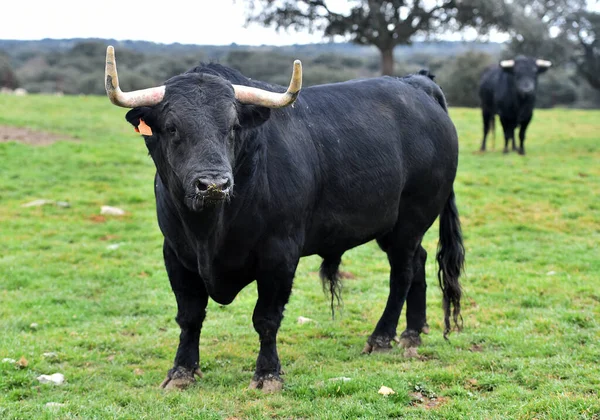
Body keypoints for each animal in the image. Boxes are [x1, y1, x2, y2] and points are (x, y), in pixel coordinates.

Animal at [103, 47, 464, 392]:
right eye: (172, 127)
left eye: (233, 127)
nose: (214, 184)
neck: (210, 230)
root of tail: (416, 84)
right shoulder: (176, 254)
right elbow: (189, 316)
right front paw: (181, 371)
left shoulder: (279, 255)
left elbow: (266, 318)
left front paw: (267, 374)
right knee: (418, 261)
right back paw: (413, 333)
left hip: (410, 220)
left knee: (402, 273)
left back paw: (382, 337)